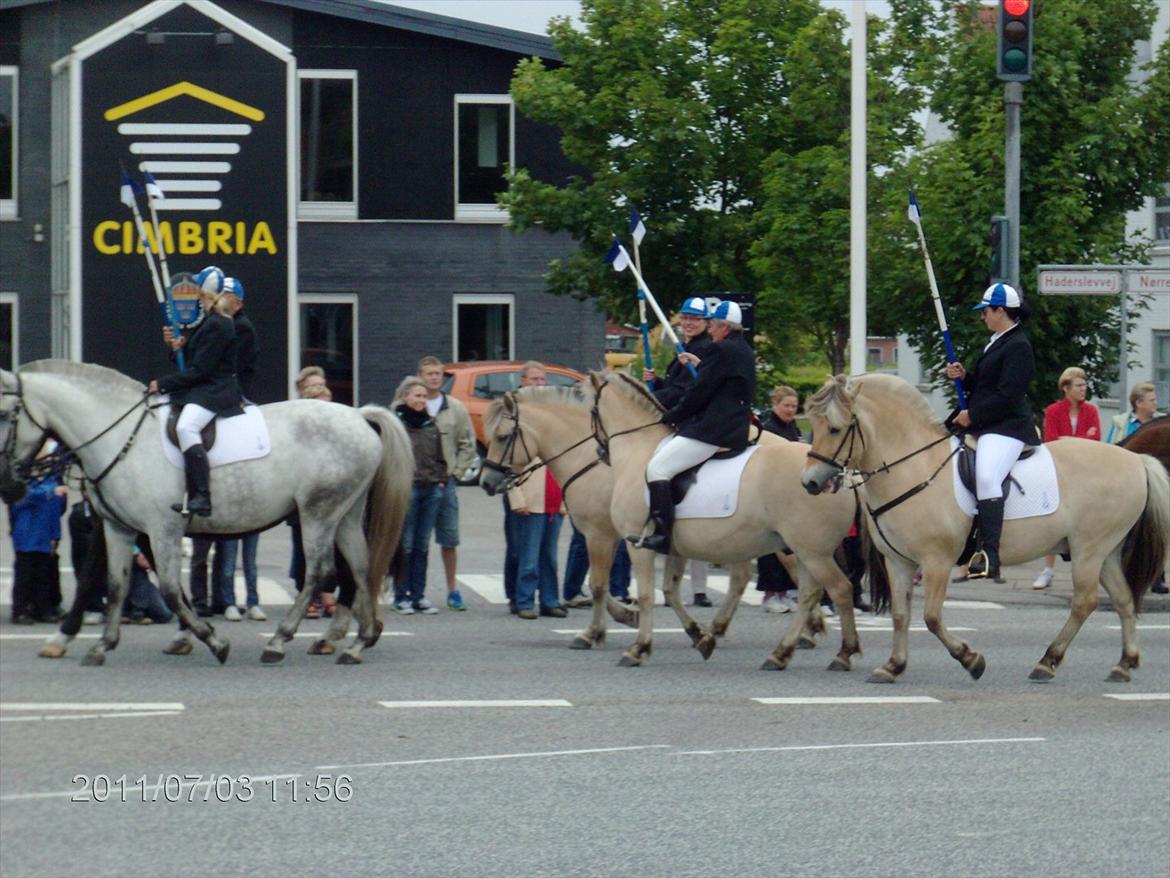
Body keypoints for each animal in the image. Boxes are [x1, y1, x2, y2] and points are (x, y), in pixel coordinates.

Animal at [0, 360, 414, 664]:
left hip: (318, 512)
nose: (9, 487)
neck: (120, 438)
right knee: (359, 567)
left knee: (320, 572)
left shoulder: (162, 528)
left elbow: (169, 590)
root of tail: (359, 416)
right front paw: (101, 645)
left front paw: (212, 641)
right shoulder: (119, 528)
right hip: (344, 514)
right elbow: (115, 585)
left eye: (5, 415)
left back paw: (280, 642)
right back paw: (357, 642)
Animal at [477, 381, 833, 664]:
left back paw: (805, 631)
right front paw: (643, 619)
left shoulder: (601, 533)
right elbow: (643, 588)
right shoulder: (637, 537)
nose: (486, 482)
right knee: (752, 576)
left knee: (793, 573)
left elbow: (599, 584)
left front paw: (598, 630)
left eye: (502, 436)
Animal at [800, 374, 1165, 683]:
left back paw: (1048, 661)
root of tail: (1135, 459)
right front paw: (892, 666)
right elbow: (901, 615)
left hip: (1088, 549)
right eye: (813, 424)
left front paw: (971, 659)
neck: (915, 467)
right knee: (1123, 599)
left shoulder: (936, 561)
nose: (810, 483)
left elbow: (931, 617)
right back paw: (1123, 663)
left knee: (1085, 602)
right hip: (1106, 551)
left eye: (835, 428)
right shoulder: (899, 561)